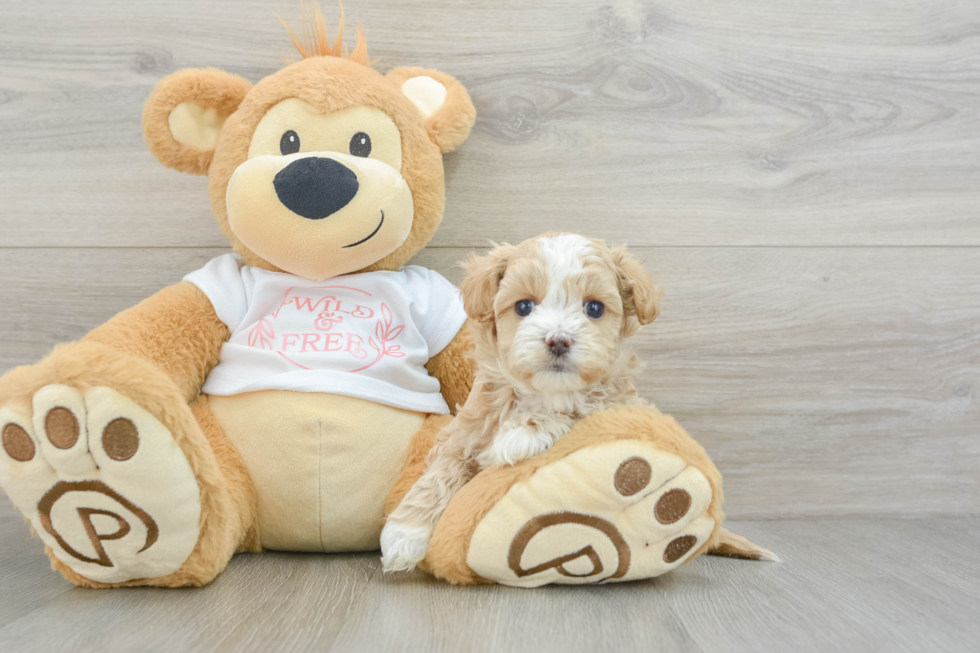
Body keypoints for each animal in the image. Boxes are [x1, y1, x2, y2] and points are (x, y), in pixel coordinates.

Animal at [378, 233, 664, 572]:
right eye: (524, 306)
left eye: (594, 308)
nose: (558, 340)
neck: (541, 393)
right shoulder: (467, 429)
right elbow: (442, 469)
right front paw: (403, 534)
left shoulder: (615, 404)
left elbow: (576, 408)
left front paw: (522, 433)